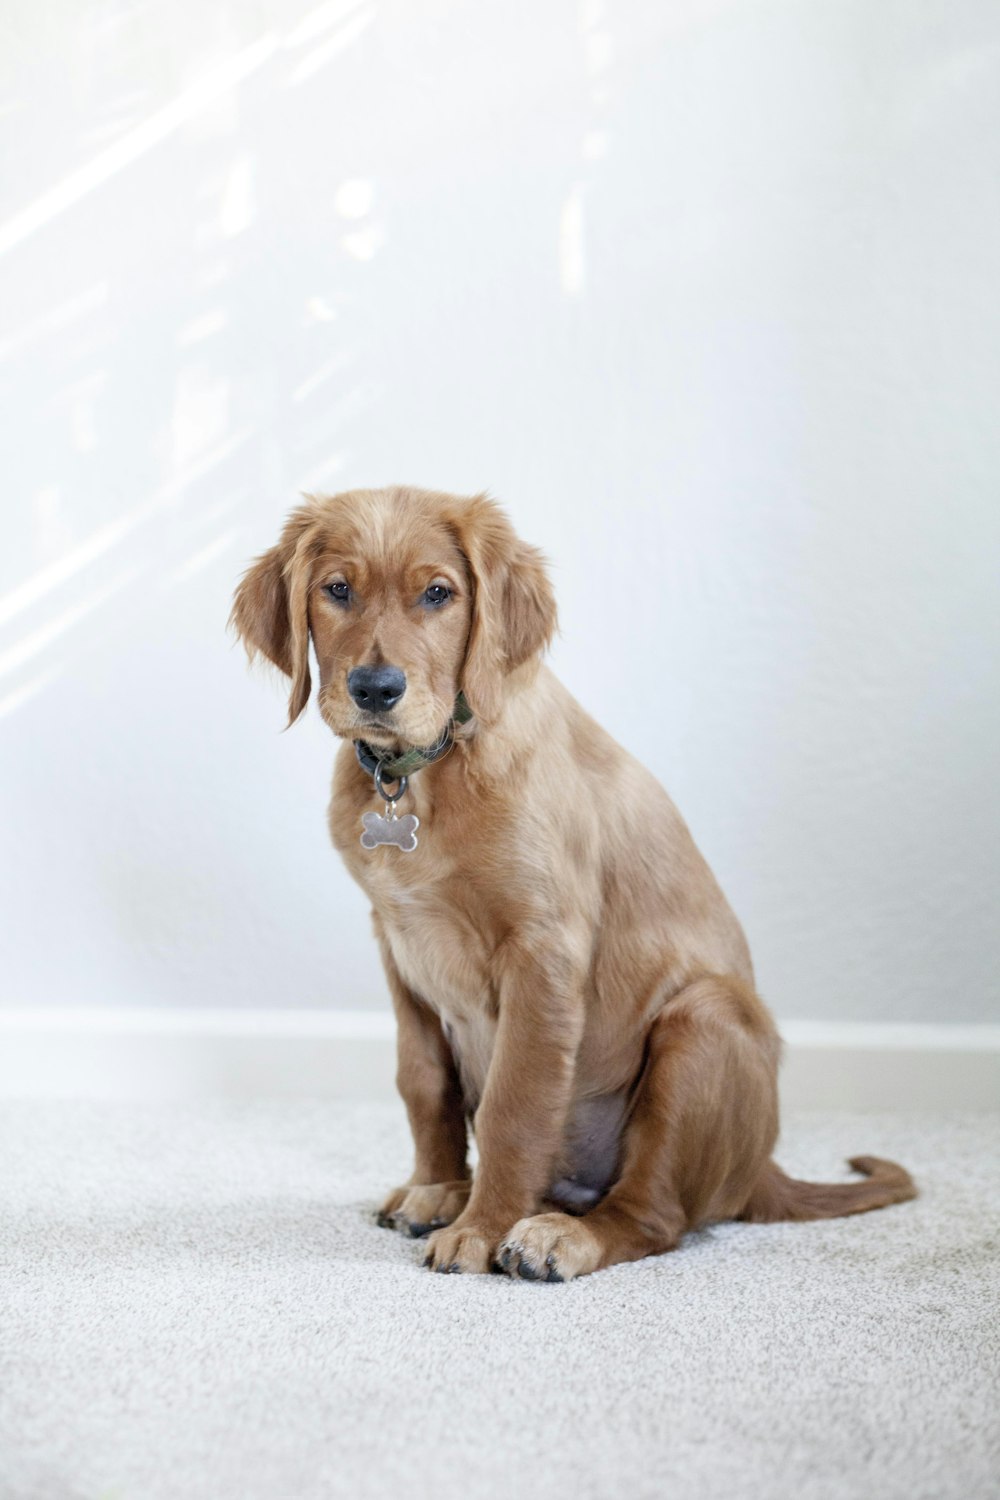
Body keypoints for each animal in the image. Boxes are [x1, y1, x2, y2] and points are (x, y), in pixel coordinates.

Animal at [232, 483, 917, 1278]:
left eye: (438, 593)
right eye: (337, 590)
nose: (376, 689)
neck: (432, 767)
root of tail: (759, 1170)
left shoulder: (543, 950)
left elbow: (514, 1102)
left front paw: (479, 1226)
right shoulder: (397, 943)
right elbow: (423, 1081)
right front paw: (438, 1189)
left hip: (703, 1018)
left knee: (655, 1215)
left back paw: (560, 1236)